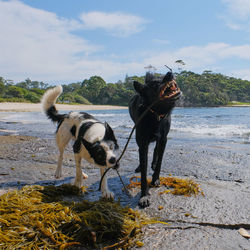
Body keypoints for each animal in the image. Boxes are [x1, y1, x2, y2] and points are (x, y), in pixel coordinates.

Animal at [129, 70, 182, 207]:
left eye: (163, 76)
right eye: (154, 84)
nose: (170, 73)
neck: (155, 114)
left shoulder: (164, 139)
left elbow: (159, 162)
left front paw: (155, 179)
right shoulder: (143, 142)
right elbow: (143, 171)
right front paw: (144, 196)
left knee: (156, 149)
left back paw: (152, 163)